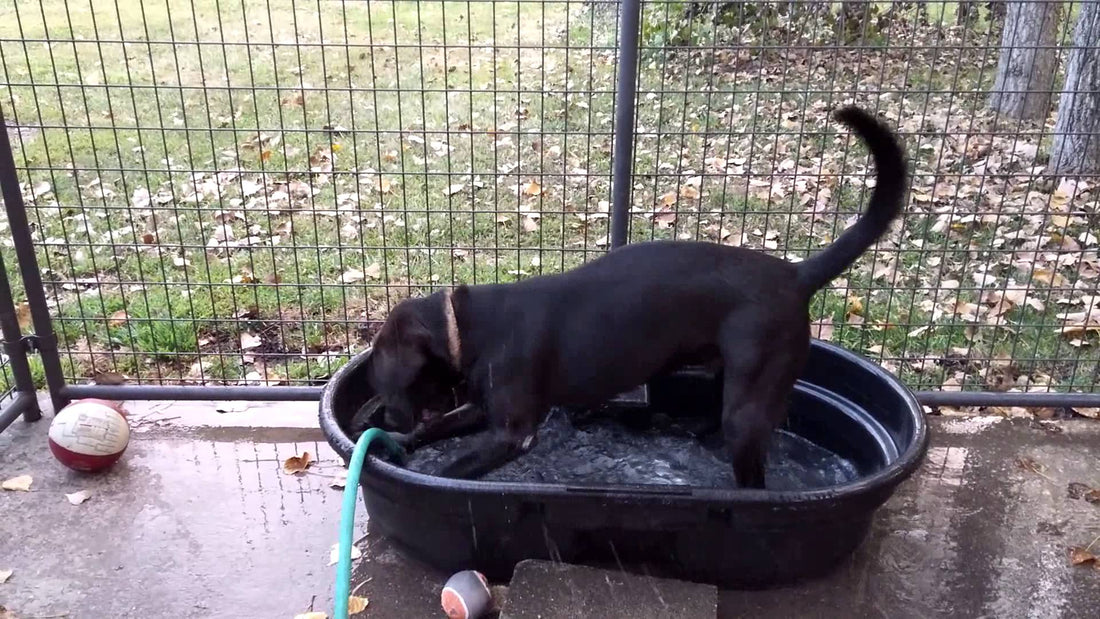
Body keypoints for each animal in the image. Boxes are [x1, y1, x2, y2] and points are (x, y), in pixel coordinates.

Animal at [365, 106, 906, 490]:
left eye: (382, 365)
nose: (383, 417)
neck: (468, 326)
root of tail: (794, 274)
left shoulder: (513, 433)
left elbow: (449, 472)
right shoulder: (480, 412)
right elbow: (431, 432)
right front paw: (398, 443)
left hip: (750, 407)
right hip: (731, 380)